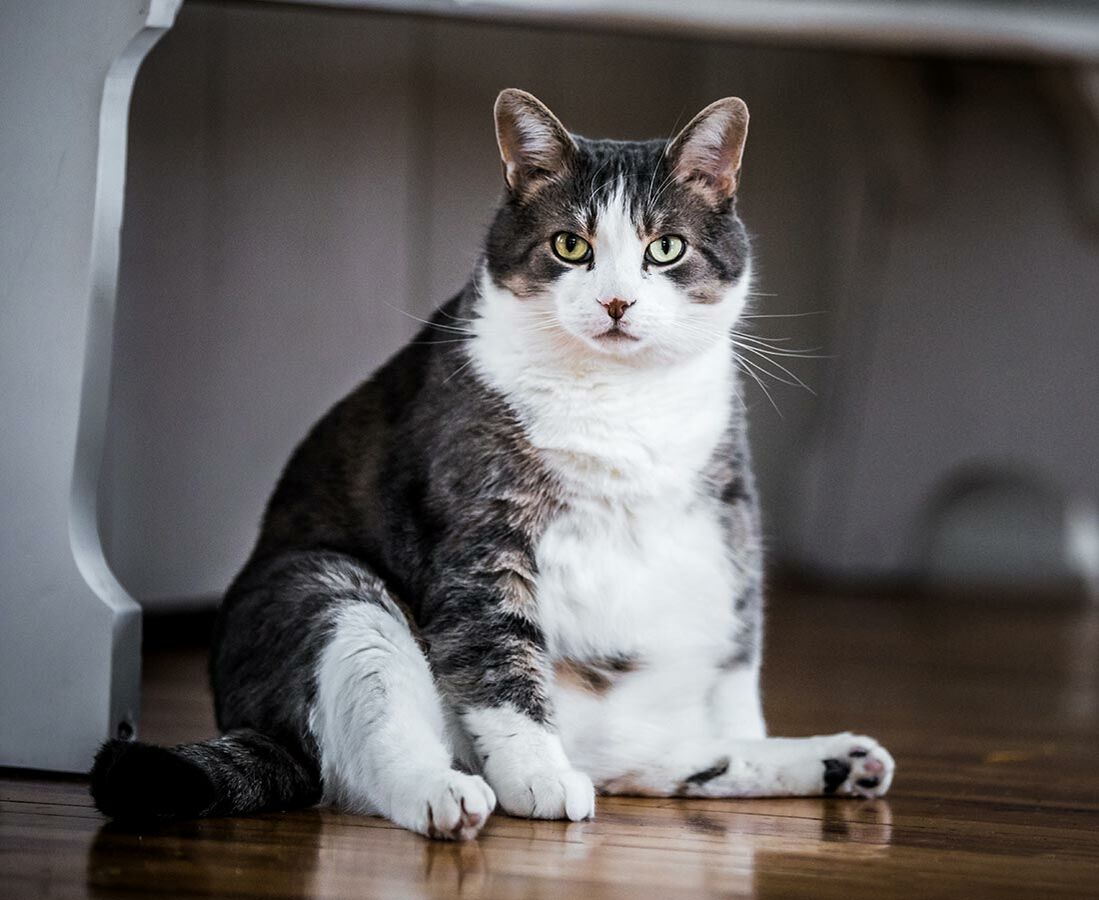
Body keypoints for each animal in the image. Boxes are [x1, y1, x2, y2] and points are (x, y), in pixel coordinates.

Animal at [87, 87, 892, 839]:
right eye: (570, 246)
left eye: (666, 248)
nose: (616, 303)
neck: (619, 400)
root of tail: (253, 724)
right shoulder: (480, 528)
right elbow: (499, 656)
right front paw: (538, 774)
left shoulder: (728, 513)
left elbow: (736, 660)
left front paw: (754, 737)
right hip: (323, 588)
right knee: (363, 759)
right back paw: (448, 794)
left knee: (656, 757)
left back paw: (836, 760)